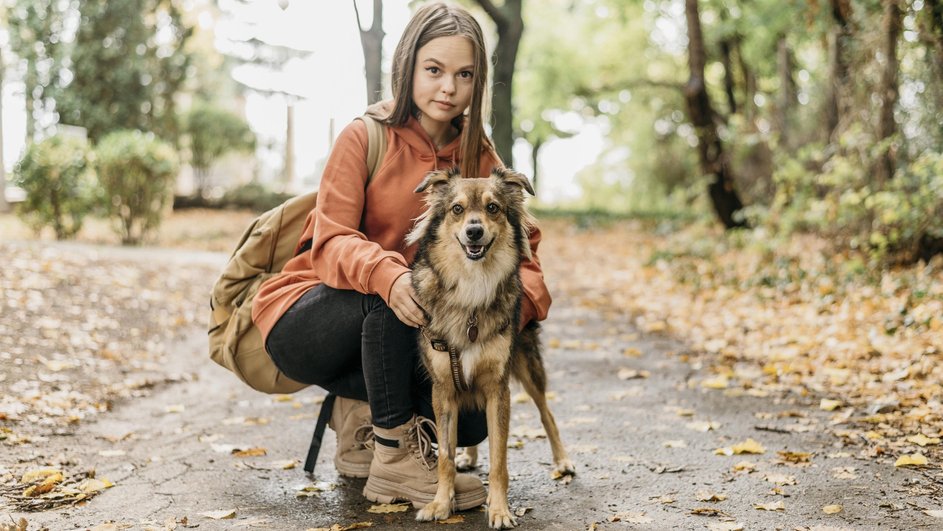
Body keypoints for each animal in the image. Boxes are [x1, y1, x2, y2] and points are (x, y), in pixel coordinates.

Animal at [408, 167, 576, 528]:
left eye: (493, 208)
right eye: (457, 209)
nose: (474, 231)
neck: (472, 287)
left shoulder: (498, 389)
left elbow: (499, 459)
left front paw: (499, 510)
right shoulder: (443, 389)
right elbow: (444, 454)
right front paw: (440, 503)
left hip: (528, 367)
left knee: (546, 413)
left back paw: (563, 460)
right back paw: (468, 457)